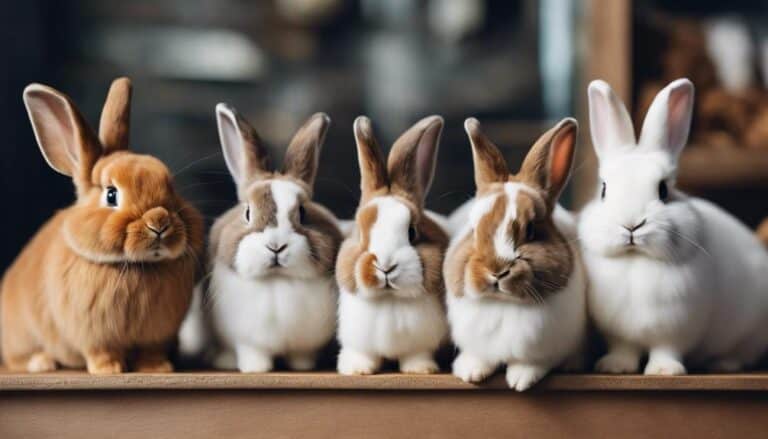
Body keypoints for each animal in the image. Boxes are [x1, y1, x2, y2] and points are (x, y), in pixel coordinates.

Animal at [1, 78, 204, 374]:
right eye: (111, 195)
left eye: (171, 187)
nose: (159, 221)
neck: (136, 267)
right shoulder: (94, 336)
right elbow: (101, 351)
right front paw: (110, 370)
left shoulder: (156, 337)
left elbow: (151, 352)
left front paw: (158, 369)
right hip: (20, 335)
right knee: (16, 358)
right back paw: (41, 363)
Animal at [179, 105, 343, 373]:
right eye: (247, 212)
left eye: (303, 213)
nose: (276, 246)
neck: (276, 280)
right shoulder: (248, 342)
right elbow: (253, 355)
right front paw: (256, 369)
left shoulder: (304, 345)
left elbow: (301, 356)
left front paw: (302, 367)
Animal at [336, 115, 449, 375]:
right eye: (360, 233)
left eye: (412, 232)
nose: (385, 266)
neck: (389, 300)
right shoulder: (358, 341)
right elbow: (362, 355)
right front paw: (356, 370)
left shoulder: (420, 343)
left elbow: (416, 355)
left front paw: (421, 370)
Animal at [445, 117, 587, 391]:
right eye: (473, 228)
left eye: (531, 230)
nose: (497, 270)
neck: (504, 305)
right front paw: (471, 372)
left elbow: (535, 362)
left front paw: (520, 379)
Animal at [581, 78, 768, 375]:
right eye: (604, 190)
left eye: (663, 190)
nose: (631, 225)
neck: (635, 261)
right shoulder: (619, 334)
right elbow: (624, 349)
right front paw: (614, 367)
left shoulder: (676, 330)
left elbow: (666, 350)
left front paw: (664, 371)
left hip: (751, 333)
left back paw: (723, 364)